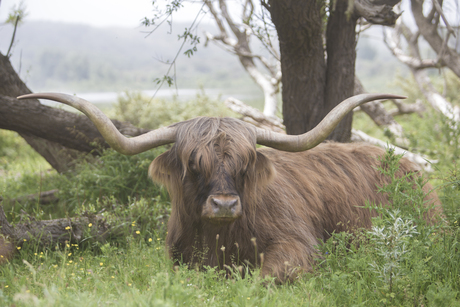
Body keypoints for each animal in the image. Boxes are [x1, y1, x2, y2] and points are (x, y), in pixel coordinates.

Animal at [14, 92, 438, 282]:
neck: (220, 239)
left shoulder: (298, 245)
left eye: (244, 163)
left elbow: (265, 275)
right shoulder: (178, 258)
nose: (223, 204)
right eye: (193, 163)